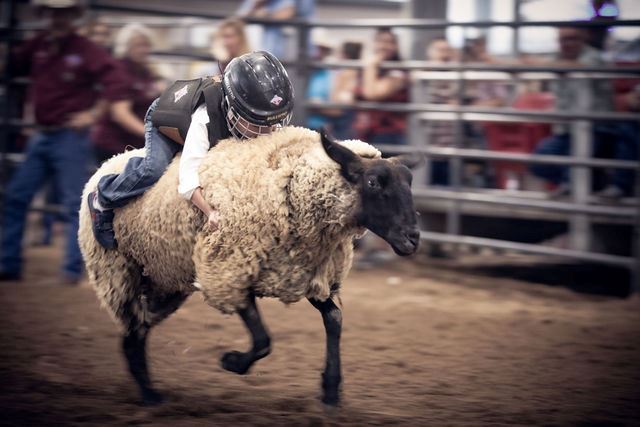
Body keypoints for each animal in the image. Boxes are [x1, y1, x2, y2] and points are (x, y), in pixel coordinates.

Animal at [77, 126, 422, 408]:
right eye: (373, 182)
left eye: (410, 183)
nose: (414, 238)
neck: (292, 188)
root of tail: (107, 163)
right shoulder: (229, 272)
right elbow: (263, 340)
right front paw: (231, 362)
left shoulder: (305, 273)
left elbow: (334, 320)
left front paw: (331, 390)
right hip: (119, 275)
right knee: (132, 331)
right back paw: (150, 398)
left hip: (165, 283)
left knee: (136, 332)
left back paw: (150, 394)